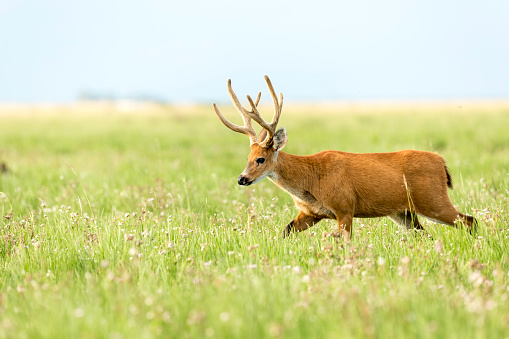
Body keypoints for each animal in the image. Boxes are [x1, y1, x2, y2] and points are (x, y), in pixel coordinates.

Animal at [211, 75, 476, 239]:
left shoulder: (345, 206)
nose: (242, 179)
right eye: (248, 156)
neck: (310, 179)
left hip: (432, 199)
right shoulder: (311, 213)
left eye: (261, 159)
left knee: (468, 220)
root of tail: (442, 163)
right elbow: (285, 232)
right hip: (403, 212)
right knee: (426, 235)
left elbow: (345, 240)